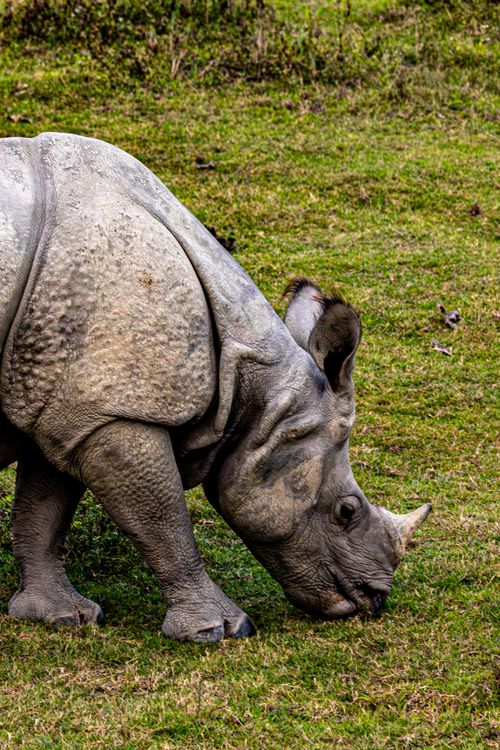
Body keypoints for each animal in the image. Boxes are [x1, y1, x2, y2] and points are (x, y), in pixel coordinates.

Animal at [0, 133, 431, 642]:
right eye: (347, 511)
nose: (375, 599)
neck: (253, 387)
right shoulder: (115, 410)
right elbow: (162, 518)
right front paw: (222, 629)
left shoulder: (74, 402)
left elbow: (44, 509)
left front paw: (62, 616)